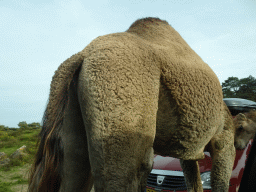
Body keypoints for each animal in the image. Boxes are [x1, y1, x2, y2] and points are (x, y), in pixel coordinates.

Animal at [28, 17, 236, 191]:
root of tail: (83, 54)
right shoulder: (223, 138)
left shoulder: (189, 152)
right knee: (128, 170)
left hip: (71, 112)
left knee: (75, 169)